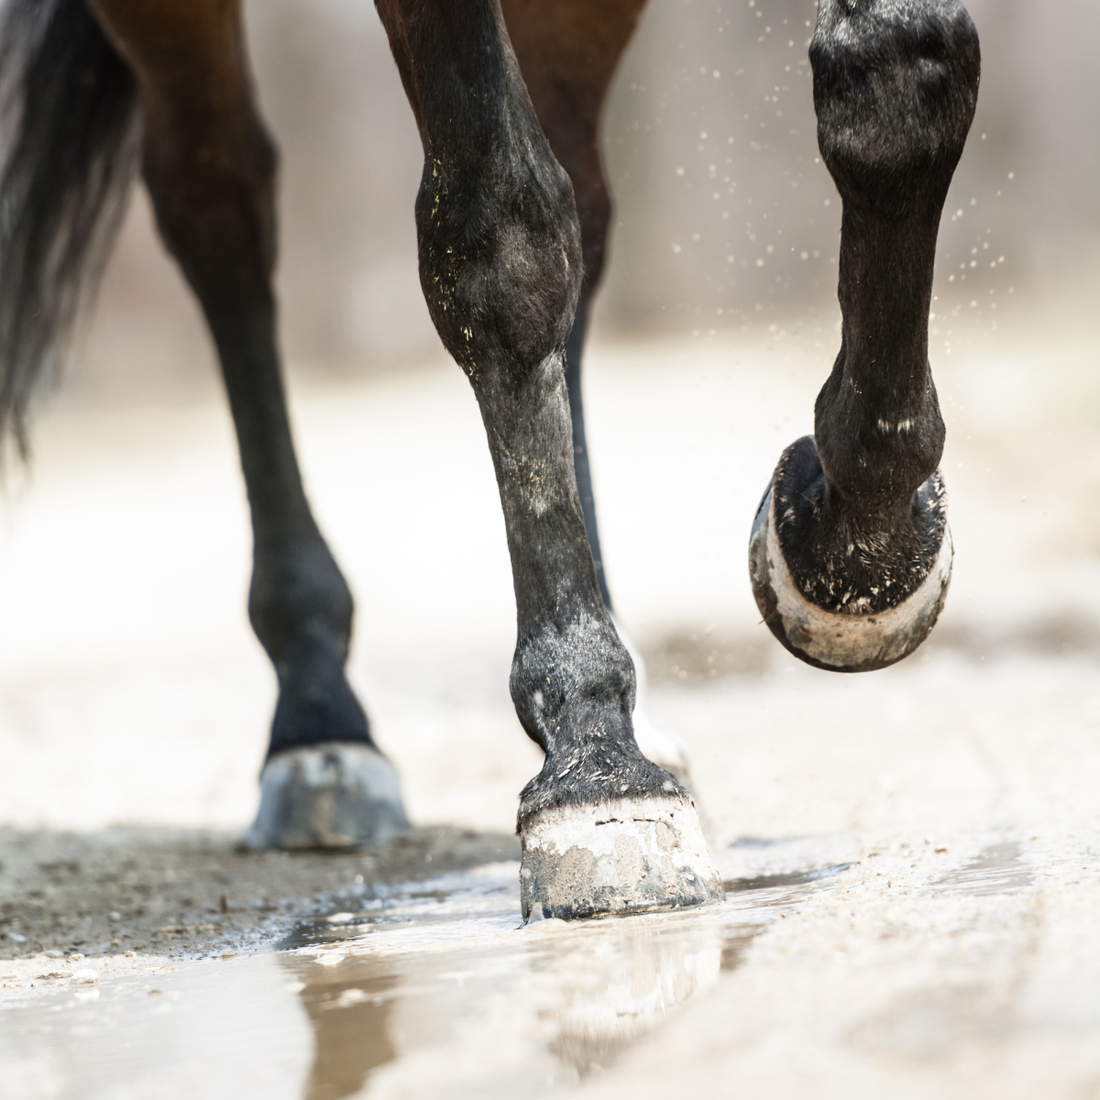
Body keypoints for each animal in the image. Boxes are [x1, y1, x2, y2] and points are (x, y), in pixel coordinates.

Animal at [0, 0, 979, 922]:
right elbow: (502, 235)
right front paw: (593, 763)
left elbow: (898, 73)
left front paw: (853, 552)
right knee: (219, 206)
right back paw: (317, 715)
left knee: (583, 195)